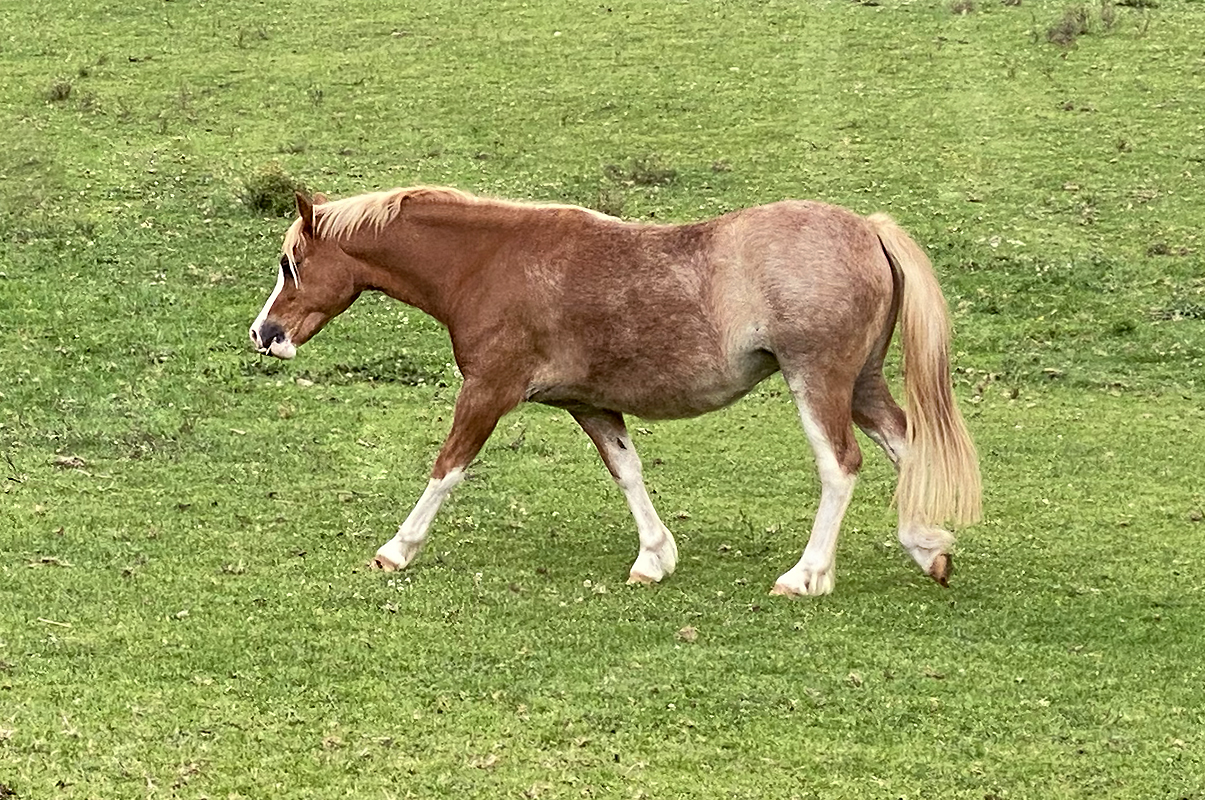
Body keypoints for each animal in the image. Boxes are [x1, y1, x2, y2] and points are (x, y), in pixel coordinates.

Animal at [249, 187, 981, 596]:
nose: (264, 333)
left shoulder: (488, 392)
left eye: (290, 263)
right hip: (861, 384)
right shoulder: (590, 404)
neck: (488, 262)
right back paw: (928, 547)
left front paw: (396, 551)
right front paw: (655, 558)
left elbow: (447, 469)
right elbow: (628, 472)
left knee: (841, 465)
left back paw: (805, 577)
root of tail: (868, 229)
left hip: (817, 380)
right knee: (905, 441)